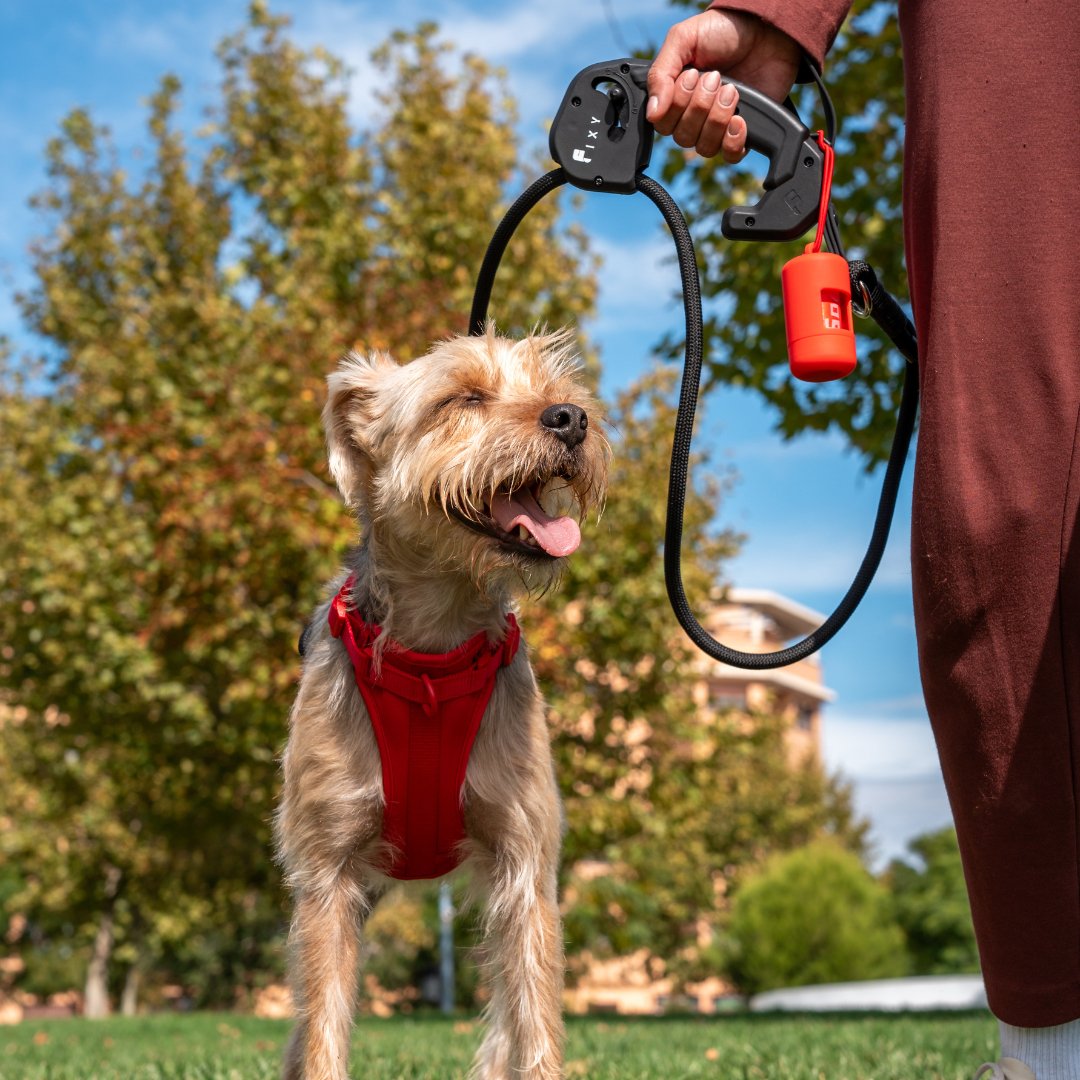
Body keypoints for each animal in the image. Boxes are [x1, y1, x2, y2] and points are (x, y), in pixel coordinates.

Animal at [274, 328, 609, 1080]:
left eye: (556, 388)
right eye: (464, 398)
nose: (571, 418)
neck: (434, 650)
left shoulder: (524, 865)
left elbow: (534, 1018)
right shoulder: (327, 876)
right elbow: (322, 1025)